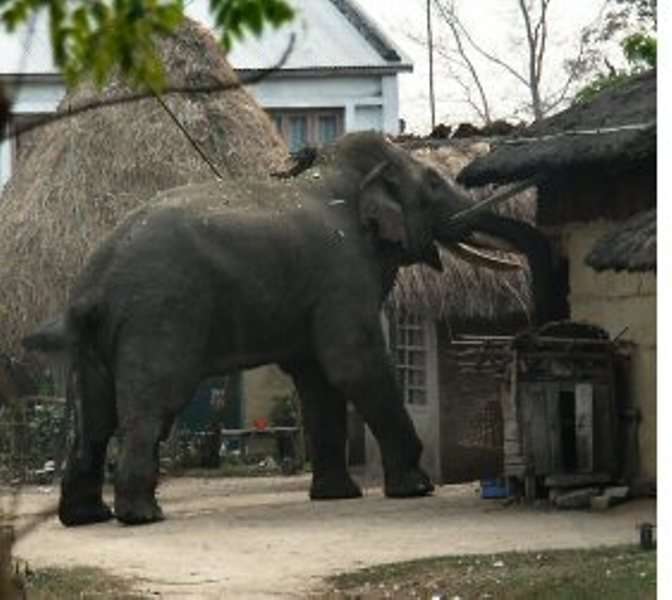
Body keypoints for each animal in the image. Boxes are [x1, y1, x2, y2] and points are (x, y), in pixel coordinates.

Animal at [22, 131, 556, 524]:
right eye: (434, 186)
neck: (343, 178)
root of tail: (93, 283)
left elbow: (318, 382)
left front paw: (338, 497)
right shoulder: (343, 274)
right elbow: (354, 365)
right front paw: (415, 488)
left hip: (98, 339)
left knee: (95, 419)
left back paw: (88, 517)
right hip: (158, 315)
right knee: (152, 406)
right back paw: (143, 516)